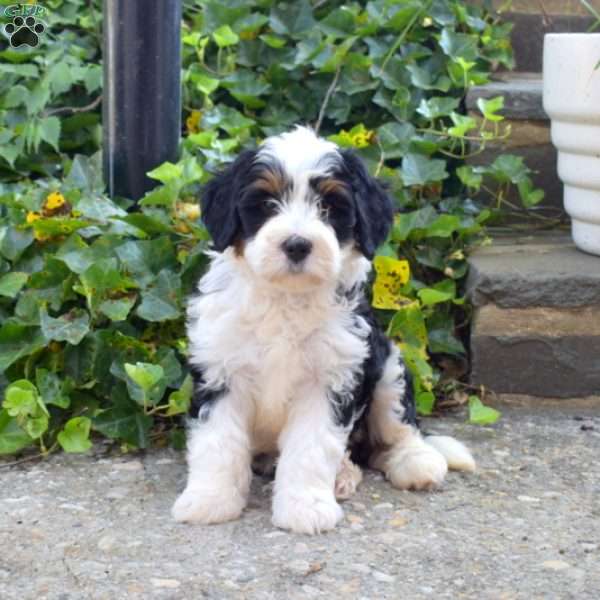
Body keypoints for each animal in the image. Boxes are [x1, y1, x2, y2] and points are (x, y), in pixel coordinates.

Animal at [171, 125, 476, 536]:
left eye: (329, 208)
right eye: (267, 204)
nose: (297, 244)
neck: (286, 297)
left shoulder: (331, 377)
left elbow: (311, 448)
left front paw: (305, 508)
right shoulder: (221, 371)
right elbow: (218, 442)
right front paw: (210, 500)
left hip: (388, 366)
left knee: (397, 432)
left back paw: (410, 464)